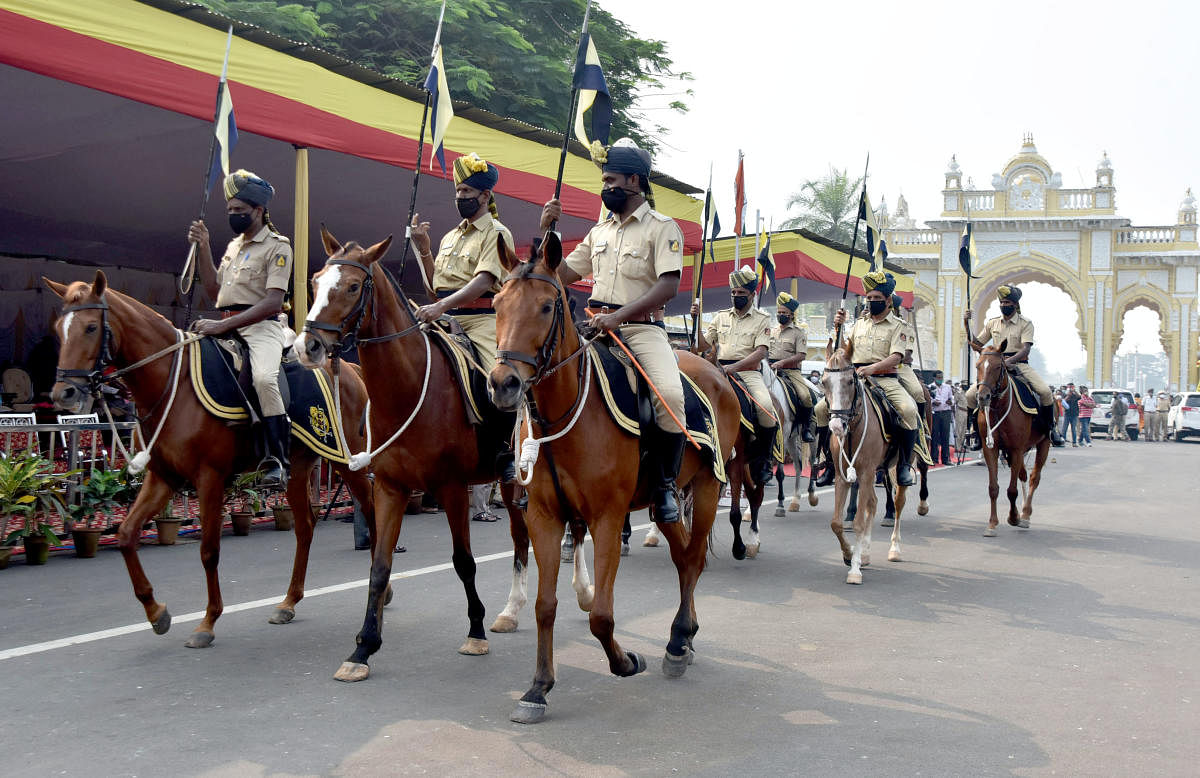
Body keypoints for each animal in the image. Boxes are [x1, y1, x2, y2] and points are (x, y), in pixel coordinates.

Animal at [46, 270, 374, 648]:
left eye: (90, 327)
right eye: (59, 329)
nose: (64, 393)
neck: (173, 383)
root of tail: (349, 368)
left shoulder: (210, 478)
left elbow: (208, 550)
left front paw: (208, 622)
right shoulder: (163, 477)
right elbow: (127, 535)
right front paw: (156, 613)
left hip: (344, 458)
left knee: (369, 507)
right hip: (297, 467)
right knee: (305, 527)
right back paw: (288, 602)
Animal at [292, 229, 554, 681]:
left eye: (354, 286)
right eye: (315, 282)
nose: (307, 346)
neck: (408, 389)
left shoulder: (450, 488)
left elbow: (464, 561)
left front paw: (475, 632)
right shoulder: (390, 488)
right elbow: (379, 567)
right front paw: (363, 647)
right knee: (521, 539)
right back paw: (511, 611)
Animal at [487, 230, 739, 725]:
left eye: (546, 306)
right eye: (497, 304)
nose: (503, 383)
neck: (565, 415)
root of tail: (715, 369)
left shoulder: (605, 516)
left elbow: (601, 614)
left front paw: (624, 661)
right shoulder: (543, 516)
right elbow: (546, 606)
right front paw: (538, 688)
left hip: (707, 487)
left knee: (694, 558)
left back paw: (678, 640)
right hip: (663, 502)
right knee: (683, 558)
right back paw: (684, 638)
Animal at [820, 340, 921, 583]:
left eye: (850, 381)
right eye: (823, 382)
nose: (836, 426)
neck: (853, 429)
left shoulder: (866, 473)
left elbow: (857, 522)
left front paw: (854, 570)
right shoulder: (843, 475)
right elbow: (836, 523)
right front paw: (850, 555)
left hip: (896, 468)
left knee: (898, 503)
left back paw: (894, 549)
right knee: (873, 503)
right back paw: (864, 553)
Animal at [964, 340, 1051, 535]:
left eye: (998, 367)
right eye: (977, 365)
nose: (983, 397)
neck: (999, 407)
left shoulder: (1017, 449)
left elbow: (1012, 490)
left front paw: (1013, 517)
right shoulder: (991, 448)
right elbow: (993, 487)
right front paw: (992, 524)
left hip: (1044, 443)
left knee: (1034, 477)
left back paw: (1025, 515)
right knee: (1023, 475)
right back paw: (1022, 512)